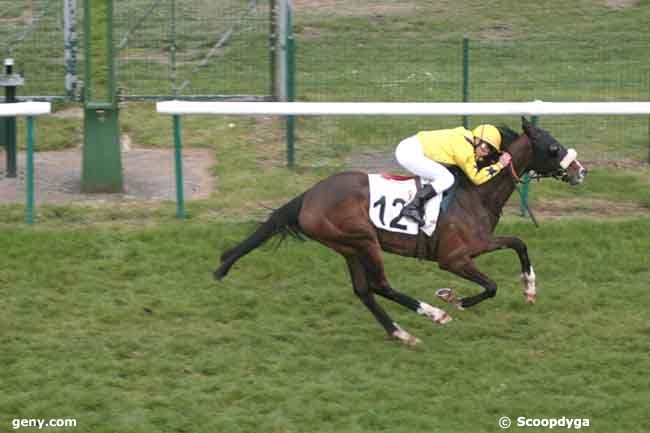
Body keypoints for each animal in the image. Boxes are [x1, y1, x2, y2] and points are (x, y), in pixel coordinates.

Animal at [215, 117, 584, 344]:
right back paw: (433, 313)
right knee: (380, 285)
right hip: (363, 240)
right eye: (553, 148)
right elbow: (491, 285)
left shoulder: (478, 244)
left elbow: (518, 243)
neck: (475, 192)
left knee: (364, 291)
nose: (580, 170)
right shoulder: (453, 258)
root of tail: (309, 195)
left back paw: (401, 333)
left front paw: (529, 288)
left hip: (348, 247)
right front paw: (453, 299)